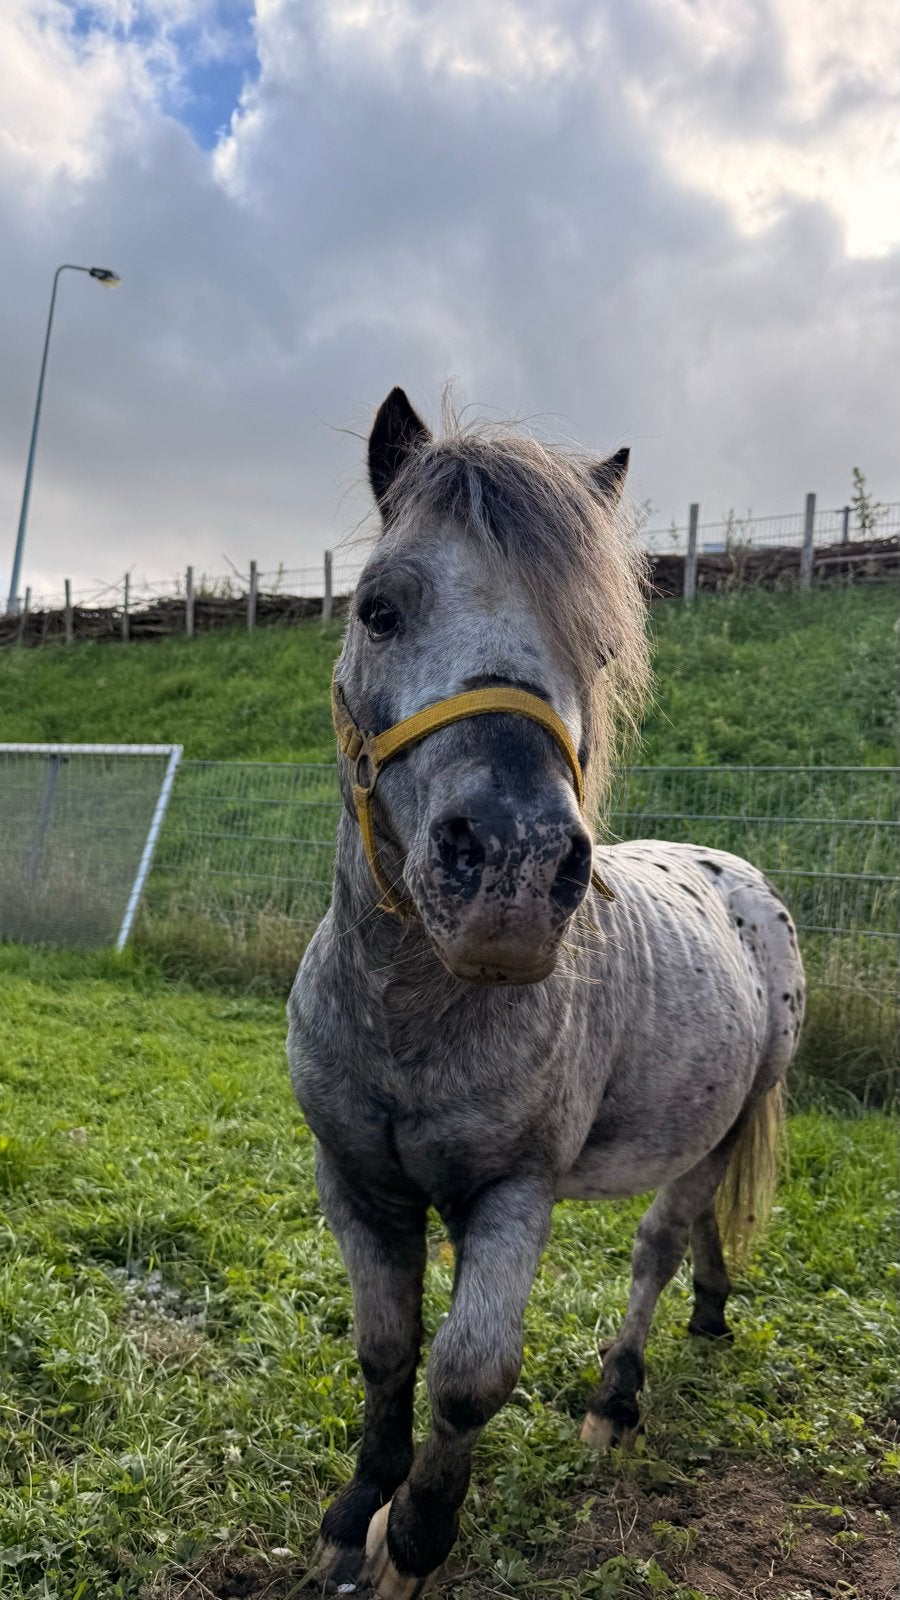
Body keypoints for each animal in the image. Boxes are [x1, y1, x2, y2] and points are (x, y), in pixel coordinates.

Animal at [287, 388, 805, 1598]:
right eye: (380, 607)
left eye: (601, 644)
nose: (516, 867)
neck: (412, 1020)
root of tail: (742, 880)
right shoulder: (356, 1180)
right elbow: (385, 1350)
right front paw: (355, 1512)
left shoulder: (512, 1193)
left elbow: (468, 1377)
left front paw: (415, 1539)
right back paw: (709, 1315)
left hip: (715, 1128)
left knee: (661, 1241)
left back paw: (619, 1395)